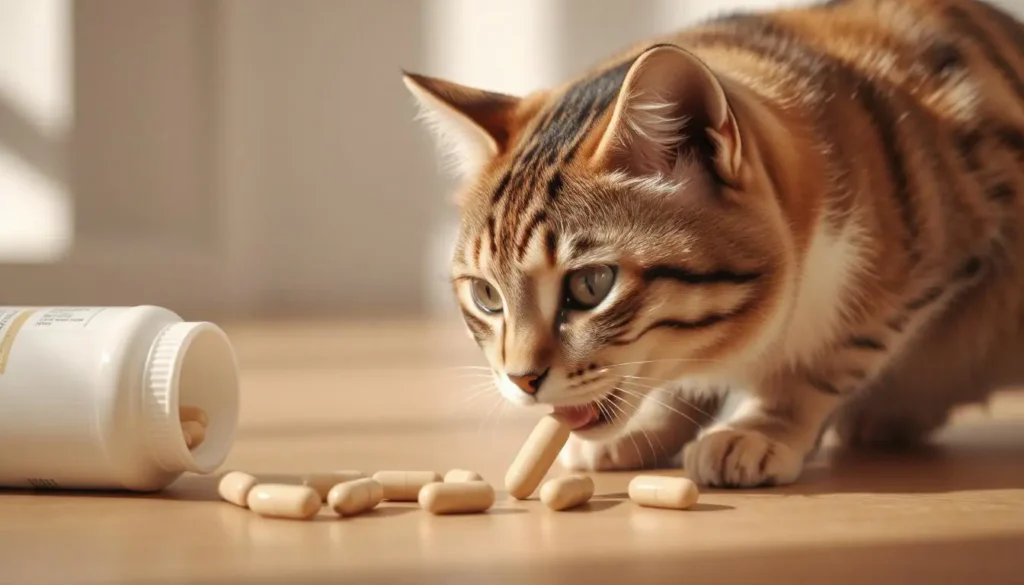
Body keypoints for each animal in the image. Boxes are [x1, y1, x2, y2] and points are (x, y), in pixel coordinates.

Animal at [399, 0, 1024, 487]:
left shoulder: (943, 247)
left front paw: (759, 429)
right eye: (486, 296)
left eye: (592, 285)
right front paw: (651, 426)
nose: (520, 380)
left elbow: (840, 349)